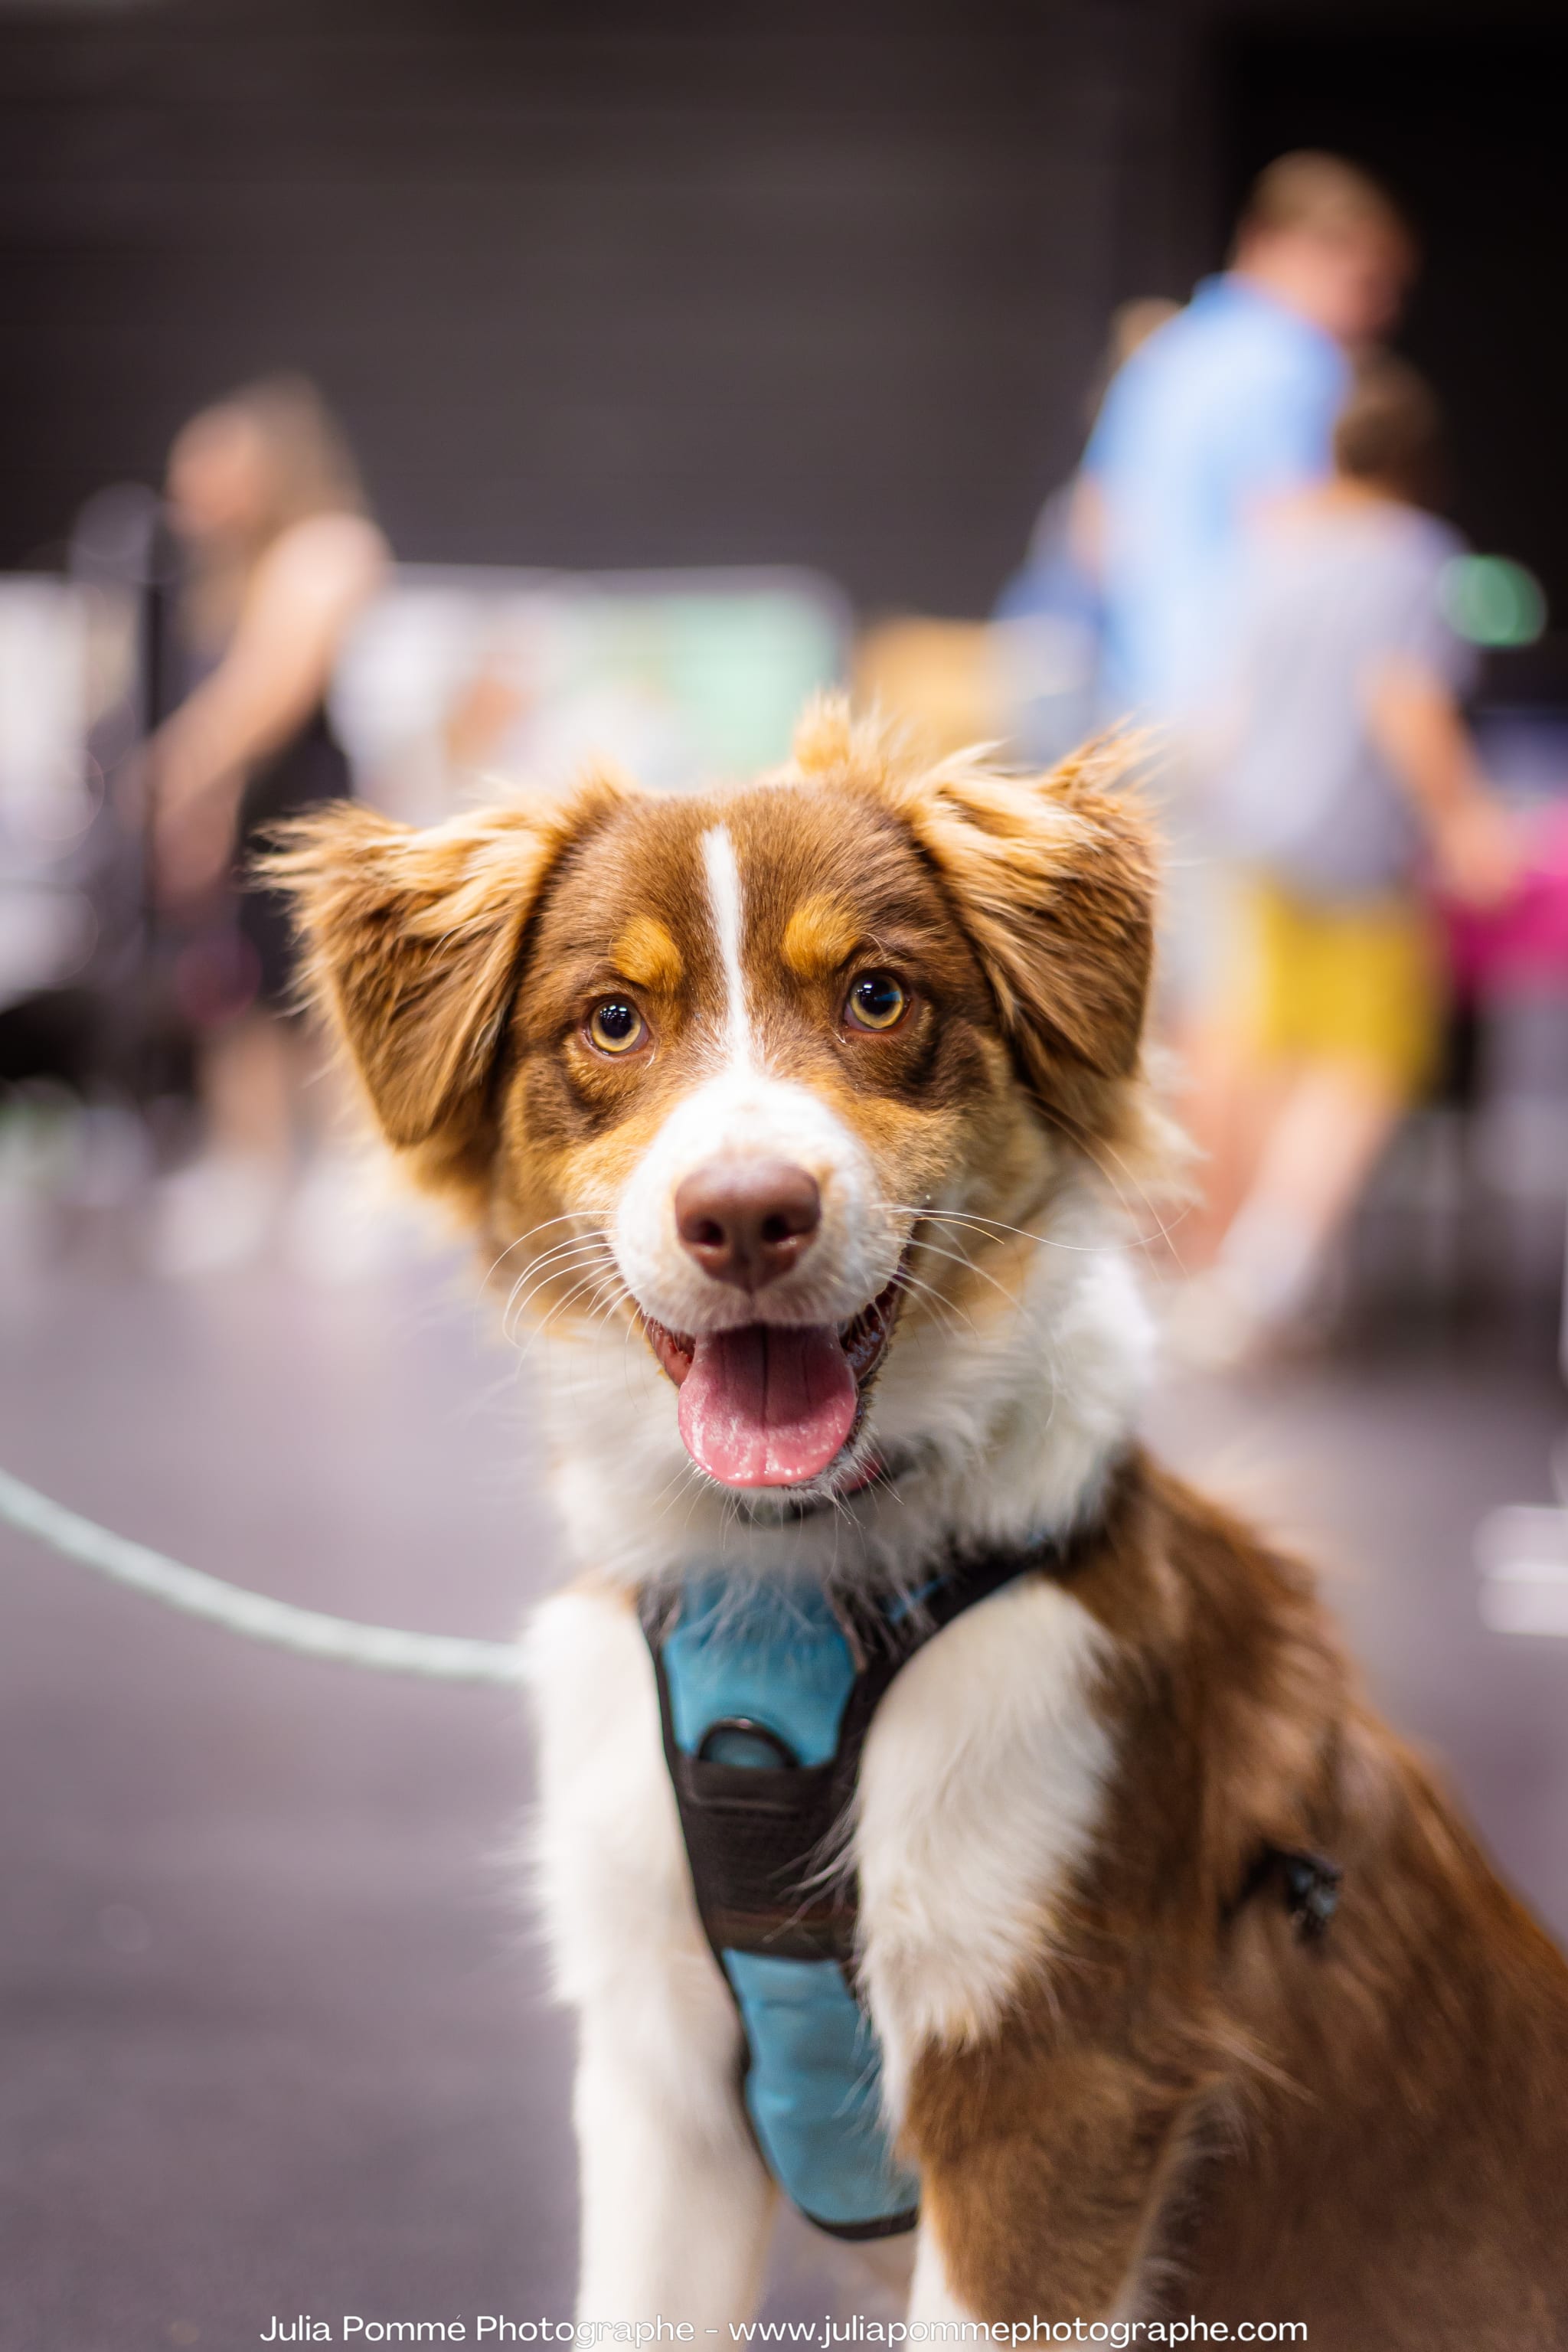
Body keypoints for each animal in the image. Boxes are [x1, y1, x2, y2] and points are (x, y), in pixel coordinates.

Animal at [270, 701, 1568, 2352]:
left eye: (877, 996)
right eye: (612, 1020)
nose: (744, 1216)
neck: (788, 1581)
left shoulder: (1051, 2080)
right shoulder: (655, 2071)